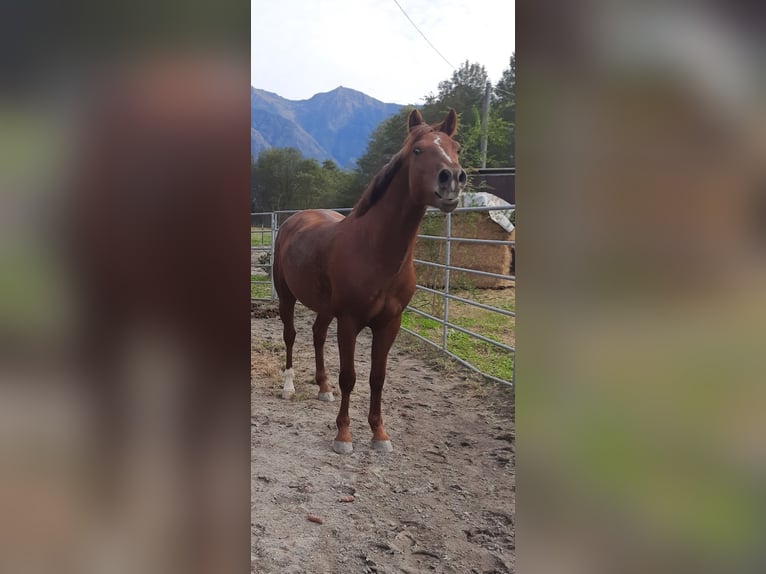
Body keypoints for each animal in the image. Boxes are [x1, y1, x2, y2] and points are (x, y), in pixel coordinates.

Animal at [274, 109, 468, 454]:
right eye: (417, 150)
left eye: (456, 147)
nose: (452, 180)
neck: (375, 251)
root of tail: (293, 219)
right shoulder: (350, 321)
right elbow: (349, 376)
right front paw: (343, 436)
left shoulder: (390, 323)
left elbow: (378, 377)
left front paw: (379, 434)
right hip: (287, 297)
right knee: (291, 335)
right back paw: (289, 386)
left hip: (325, 308)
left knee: (317, 335)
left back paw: (323, 387)